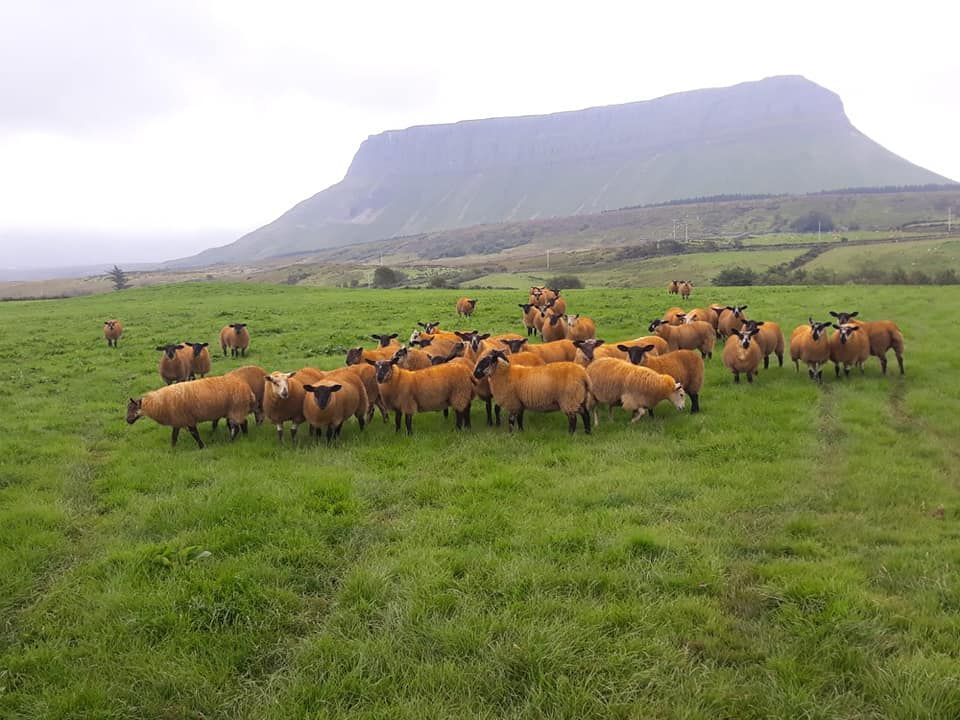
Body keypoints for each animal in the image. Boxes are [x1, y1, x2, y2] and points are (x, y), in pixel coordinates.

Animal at [126, 375, 257, 448]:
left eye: (132, 408)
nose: (127, 420)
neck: (158, 403)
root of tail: (248, 390)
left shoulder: (187, 419)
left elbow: (195, 434)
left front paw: (202, 447)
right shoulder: (178, 421)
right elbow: (174, 436)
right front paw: (172, 449)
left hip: (236, 409)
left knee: (237, 427)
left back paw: (231, 441)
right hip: (236, 410)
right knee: (244, 423)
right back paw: (245, 436)